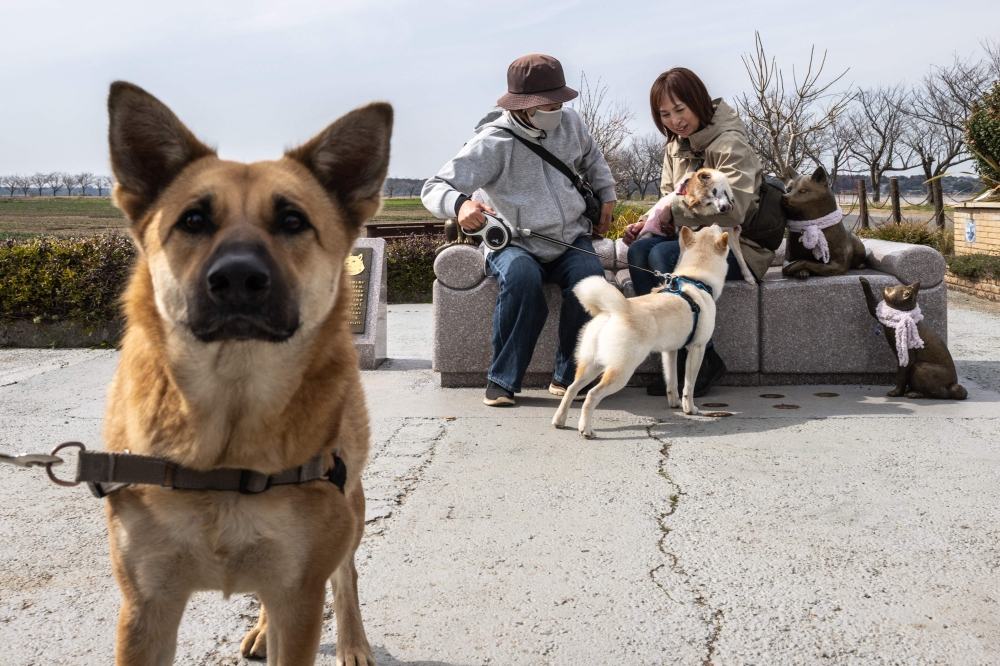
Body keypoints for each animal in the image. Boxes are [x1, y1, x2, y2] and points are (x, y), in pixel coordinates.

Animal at [104, 83, 390, 664]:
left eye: (293, 221)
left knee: (344, 576)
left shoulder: (299, 596)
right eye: (193, 220)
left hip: (346, 517)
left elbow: (321, 588)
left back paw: (352, 642)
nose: (237, 277)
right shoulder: (145, 608)